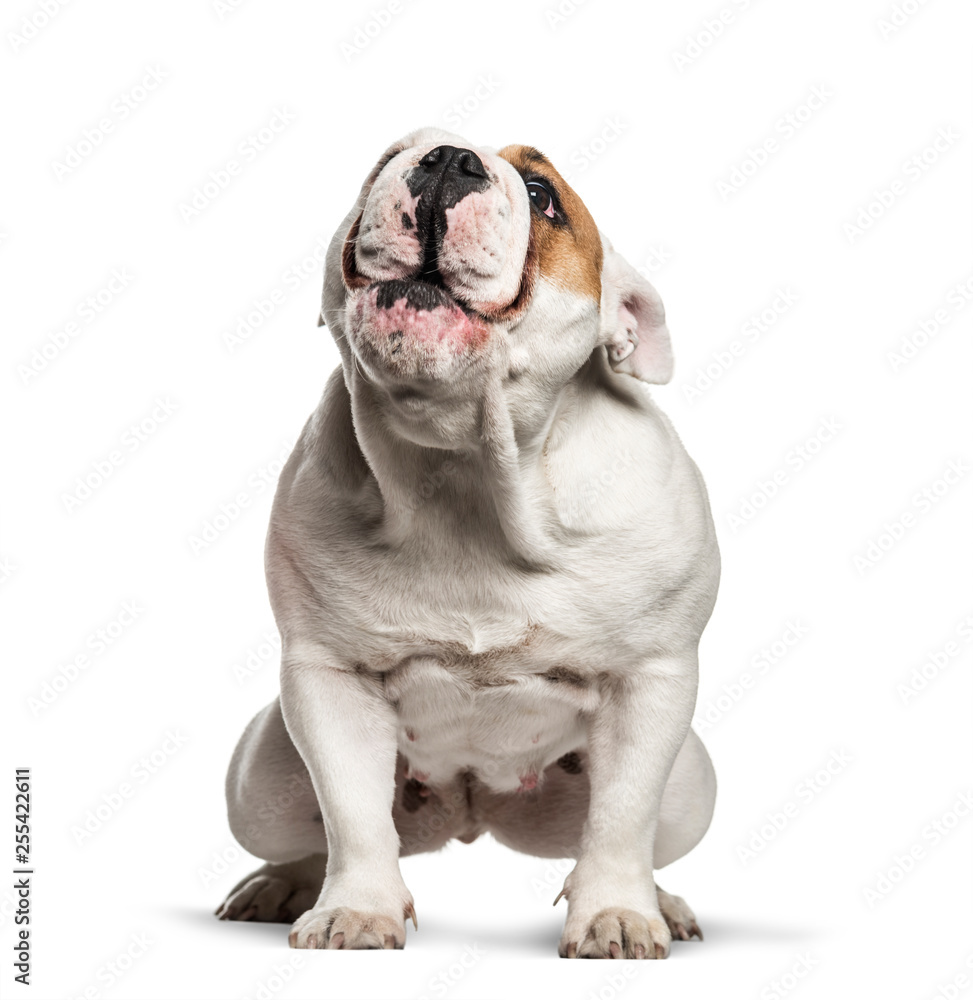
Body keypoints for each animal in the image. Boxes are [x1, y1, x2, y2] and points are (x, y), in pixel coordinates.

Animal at [220, 129, 720, 956]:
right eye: (391, 155)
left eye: (542, 195)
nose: (449, 159)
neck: (466, 469)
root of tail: (474, 809)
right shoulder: (330, 678)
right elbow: (351, 814)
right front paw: (357, 908)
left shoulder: (651, 680)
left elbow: (622, 819)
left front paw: (616, 913)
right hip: (257, 782)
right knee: (307, 832)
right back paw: (284, 884)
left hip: (691, 786)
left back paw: (664, 902)